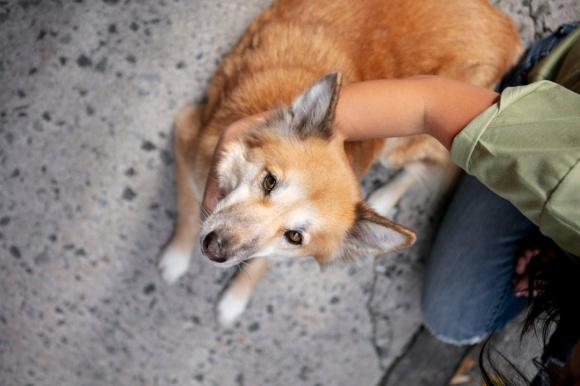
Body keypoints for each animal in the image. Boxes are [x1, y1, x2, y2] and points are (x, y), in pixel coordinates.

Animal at [159, 0, 520, 326]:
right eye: (269, 181)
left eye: (295, 237)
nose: (214, 248)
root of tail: (506, 27)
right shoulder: (185, 130)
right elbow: (188, 212)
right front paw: (176, 258)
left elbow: (260, 261)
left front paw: (235, 299)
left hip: (407, 139)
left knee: (433, 163)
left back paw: (384, 200)